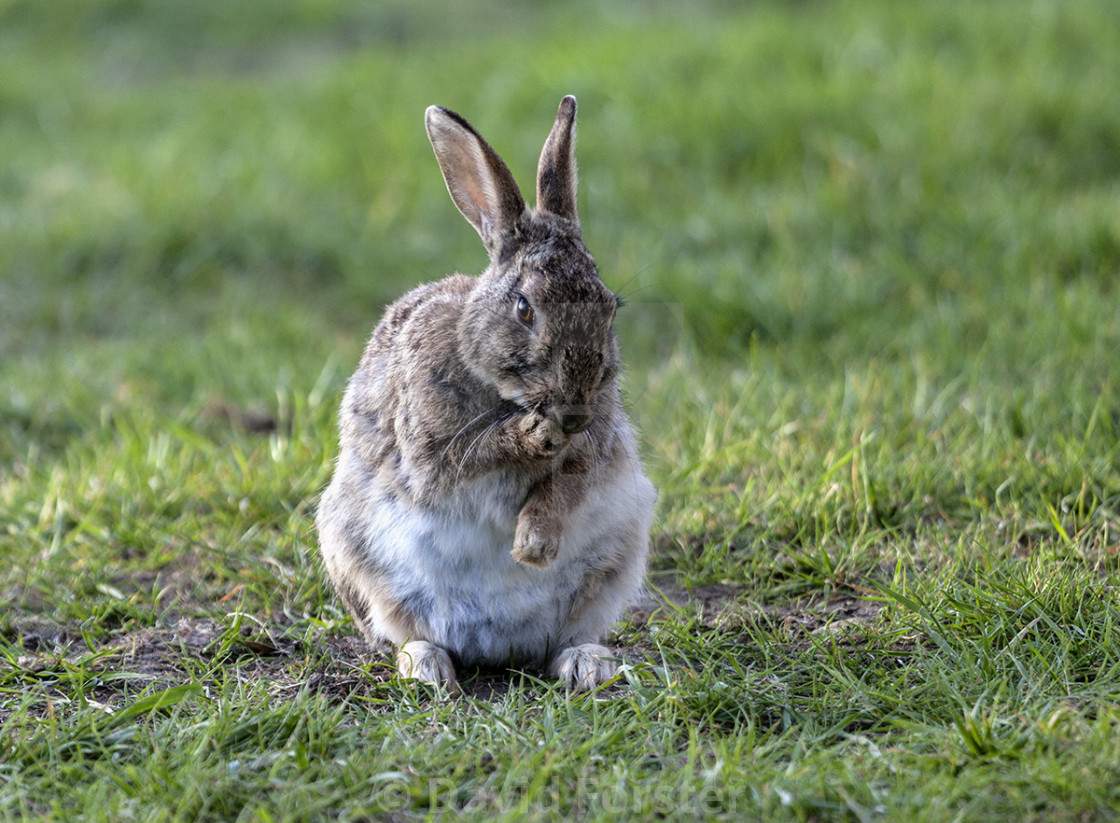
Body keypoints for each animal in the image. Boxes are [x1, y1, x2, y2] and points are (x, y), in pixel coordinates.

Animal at [315, 96, 654, 694]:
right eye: (524, 309)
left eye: (609, 307)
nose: (573, 412)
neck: (505, 392)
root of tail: (498, 649)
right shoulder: (426, 449)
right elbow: (461, 459)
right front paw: (530, 437)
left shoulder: (596, 449)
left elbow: (566, 485)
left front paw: (533, 546)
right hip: (353, 556)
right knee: (406, 633)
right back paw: (428, 667)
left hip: (616, 559)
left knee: (564, 640)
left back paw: (586, 664)